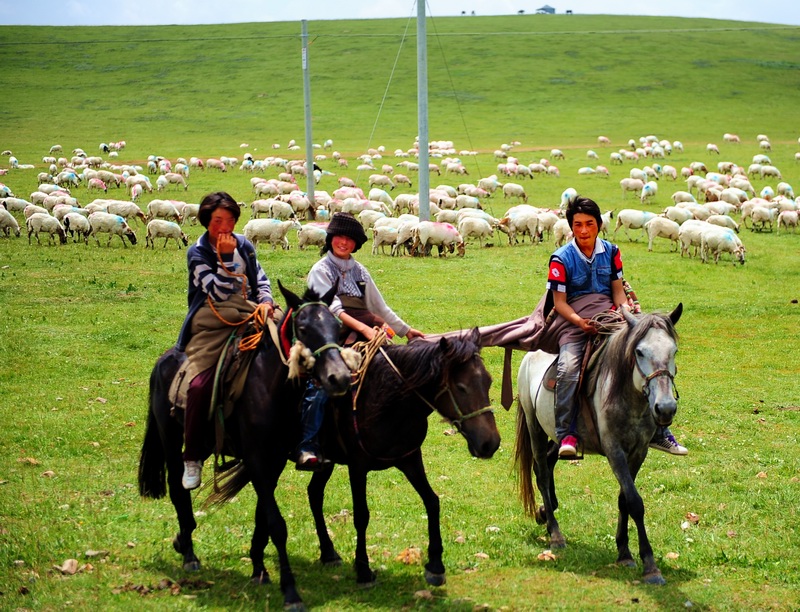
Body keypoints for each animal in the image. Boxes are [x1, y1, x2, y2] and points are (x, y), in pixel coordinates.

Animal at [138, 284, 350, 612]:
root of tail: (163, 360)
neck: (271, 388)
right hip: (170, 438)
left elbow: (262, 516)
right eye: (303, 328)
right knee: (177, 489)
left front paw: (258, 568)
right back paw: (188, 553)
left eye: (338, 328)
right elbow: (276, 524)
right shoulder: (256, 459)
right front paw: (290, 592)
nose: (338, 377)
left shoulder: (274, 461)